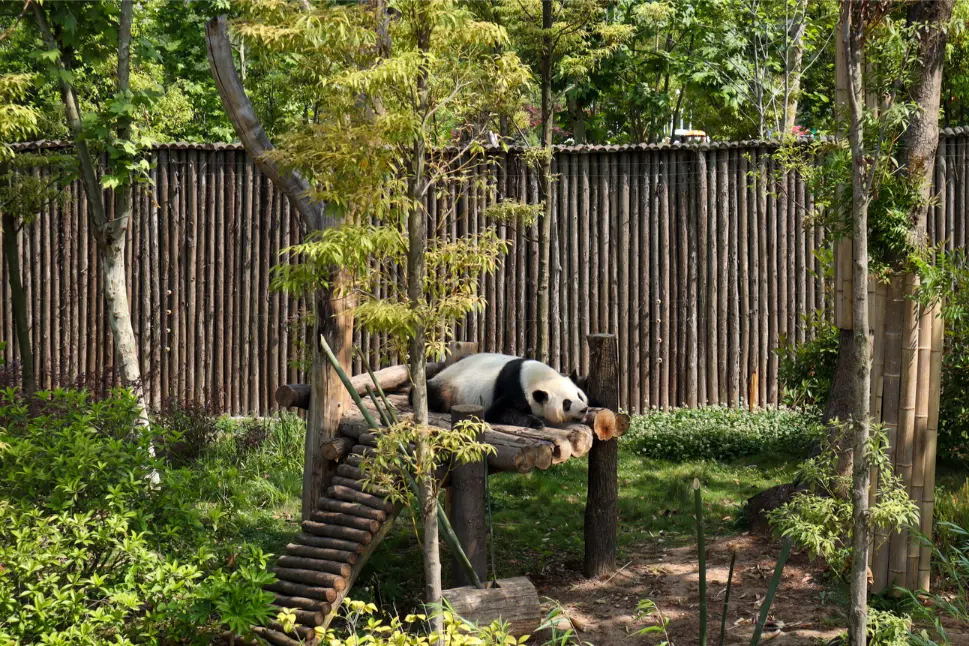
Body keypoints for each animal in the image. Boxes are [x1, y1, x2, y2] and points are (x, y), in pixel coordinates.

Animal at [415, 353, 590, 429]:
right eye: (566, 403)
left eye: (579, 395)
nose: (584, 409)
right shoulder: (515, 388)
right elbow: (497, 412)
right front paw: (537, 423)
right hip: (450, 387)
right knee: (438, 397)